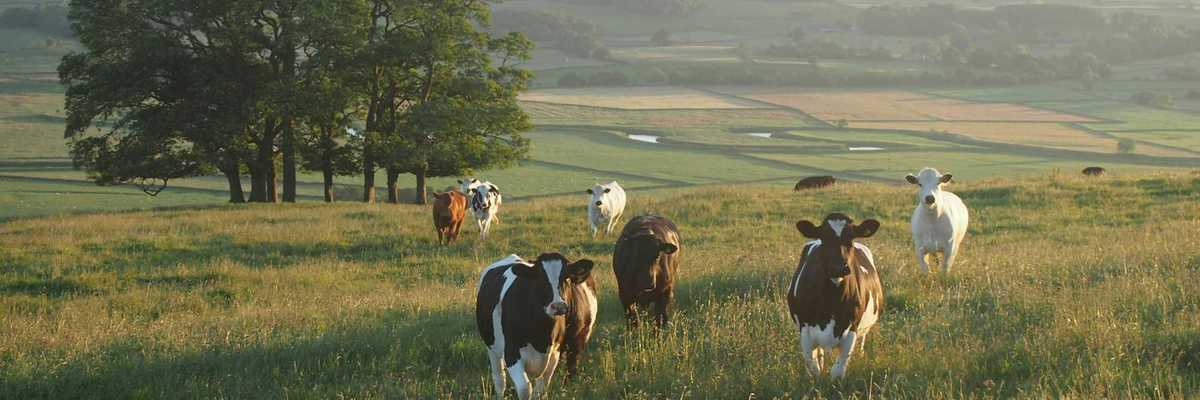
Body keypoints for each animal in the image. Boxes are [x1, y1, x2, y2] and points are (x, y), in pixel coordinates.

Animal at [476, 253, 597, 400]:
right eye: (540, 278)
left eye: (566, 277)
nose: (558, 306)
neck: (541, 335)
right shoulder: (511, 352)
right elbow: (524, 388)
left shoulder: (554, 354)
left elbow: (540, 390)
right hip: (492, 348)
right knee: (500, 380)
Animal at [787, 213, 883, 379]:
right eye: (824, 238)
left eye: (851, 238)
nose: (838, 267)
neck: (831, 301)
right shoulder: (805, 330)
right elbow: (814, 368)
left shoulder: (852, 329)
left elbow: (837, 371)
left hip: (864, 330)